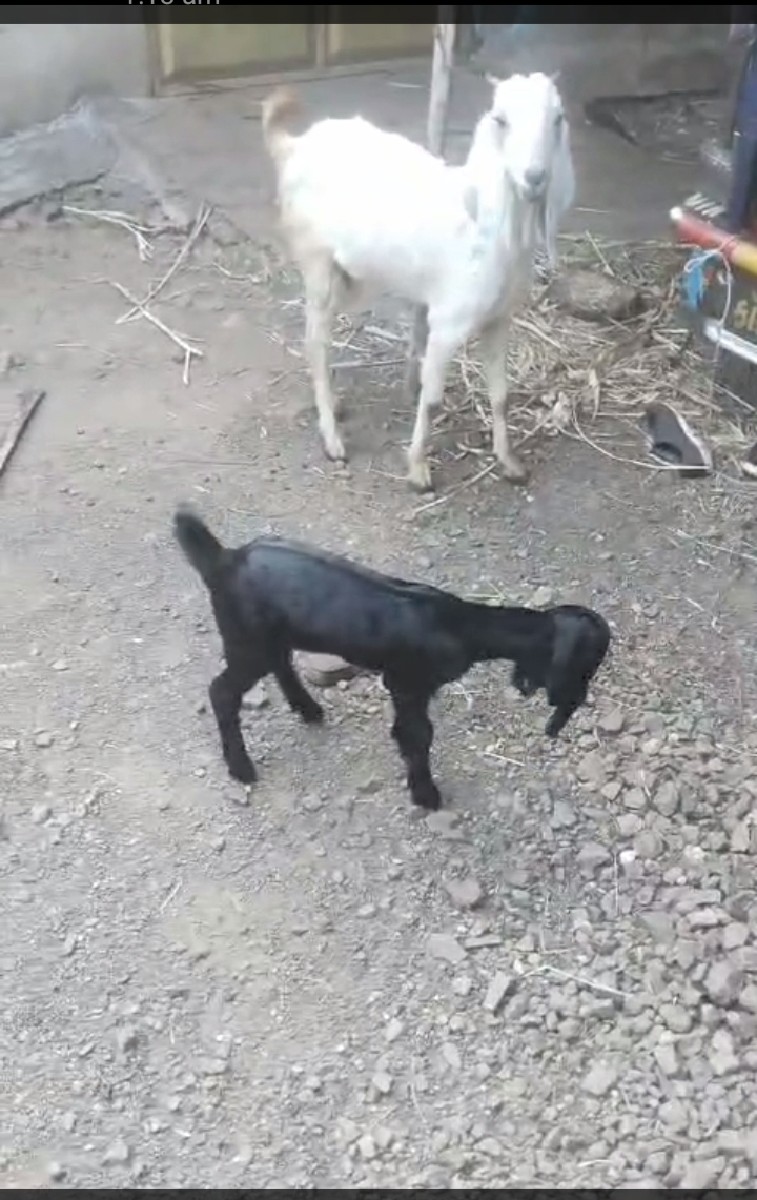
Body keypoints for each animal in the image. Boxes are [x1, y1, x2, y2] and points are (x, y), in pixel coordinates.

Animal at [174, 507, 611, 811]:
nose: (573, 705)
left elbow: (411, 731)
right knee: (222, 692)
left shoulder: (408, 686)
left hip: (271, 637)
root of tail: (224, 559)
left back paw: (308, 709)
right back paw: (241, 767)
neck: (458, 625)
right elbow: (419, 734)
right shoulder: (407, 682)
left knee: (281, 664)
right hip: (246, 642)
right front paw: (425, 793)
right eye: (586, 664)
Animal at [261, 72, 575, 493]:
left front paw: (510, 462)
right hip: (317, 261)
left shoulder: (498, 319)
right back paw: (332, 440)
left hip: (349, 273)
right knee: (314, 341)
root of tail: (294, 145)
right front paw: (418, 469)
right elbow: (433, 400)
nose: (535, 178)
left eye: (558, 119)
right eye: (500, 119)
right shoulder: (447, 321)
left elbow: (501, 395)